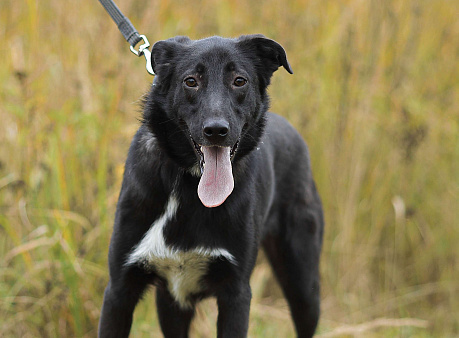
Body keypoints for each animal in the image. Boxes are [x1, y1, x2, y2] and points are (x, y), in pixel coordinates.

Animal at [99, 35, 326, 338]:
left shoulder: (236, 294)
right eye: (190, 81)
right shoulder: (120, 290)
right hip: (172, 305)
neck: (189, 184)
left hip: (303, 284)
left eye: (239, 81)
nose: (216, 131)